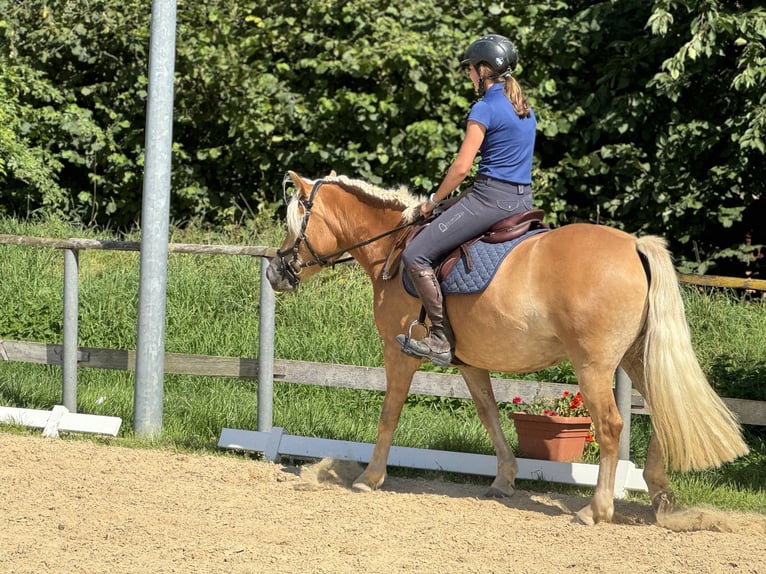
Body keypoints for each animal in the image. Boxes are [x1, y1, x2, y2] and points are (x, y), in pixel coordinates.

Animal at [266, 171, 752, 528]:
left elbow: (390, 413)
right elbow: (488, 413)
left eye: (295, 223)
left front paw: (370, 477)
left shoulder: (399, 354)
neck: (394, 249)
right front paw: (504, 479)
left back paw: (596, 510)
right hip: (635, 357)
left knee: (612, 426)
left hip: (594, 364)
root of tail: (634, 246)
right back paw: (663, 500)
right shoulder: (469, 362)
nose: (276, 271)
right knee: (662, 412)